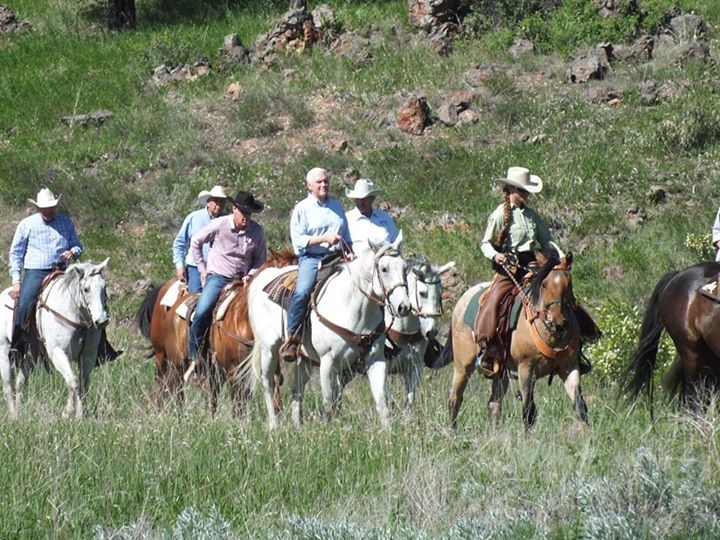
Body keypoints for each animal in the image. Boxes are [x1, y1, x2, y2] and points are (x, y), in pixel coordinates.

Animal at [0, 260, 111, 420]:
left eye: (105, 286)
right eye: (86, 289)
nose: (102, 321)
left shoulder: (88, 356)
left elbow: (82, 384)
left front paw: (80, 415)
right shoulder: (58, 353)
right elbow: (73, 382)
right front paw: (68, 412)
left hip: (31, 356)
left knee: (21, 382)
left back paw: (20, 412)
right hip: (4, 352)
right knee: (9, 385)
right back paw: (14, 415)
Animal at [136, 247, 296, 416]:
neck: (242, 320)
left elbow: (273, 398)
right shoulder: (232, 370)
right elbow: (238, 404)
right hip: (166, 358)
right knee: (167, 387)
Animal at [249, 234, 410, 428]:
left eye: (405, 268)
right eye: (384, 268)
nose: (403, 307)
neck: (354, 307)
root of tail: (262, 278)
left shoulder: (376, 360)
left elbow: (381, 403)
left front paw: (387, 433)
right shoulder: (328, 362)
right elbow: (328, 403)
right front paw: (329, 430)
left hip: (304, 359)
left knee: (297, 390)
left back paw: (297, 425)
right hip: (269, 350)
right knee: (267, 383)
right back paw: (274, 425)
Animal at [448, 251, 588, 432]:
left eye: (569, 283)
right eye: (544, 284)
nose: (559, 323)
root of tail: (463, 298)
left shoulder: (569, 367)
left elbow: (580, 407)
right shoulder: (526, 370)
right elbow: (528, 412)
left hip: (500, 371)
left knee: (494, 405)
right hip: (463, 365)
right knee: (455, 398)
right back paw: (452, 432)